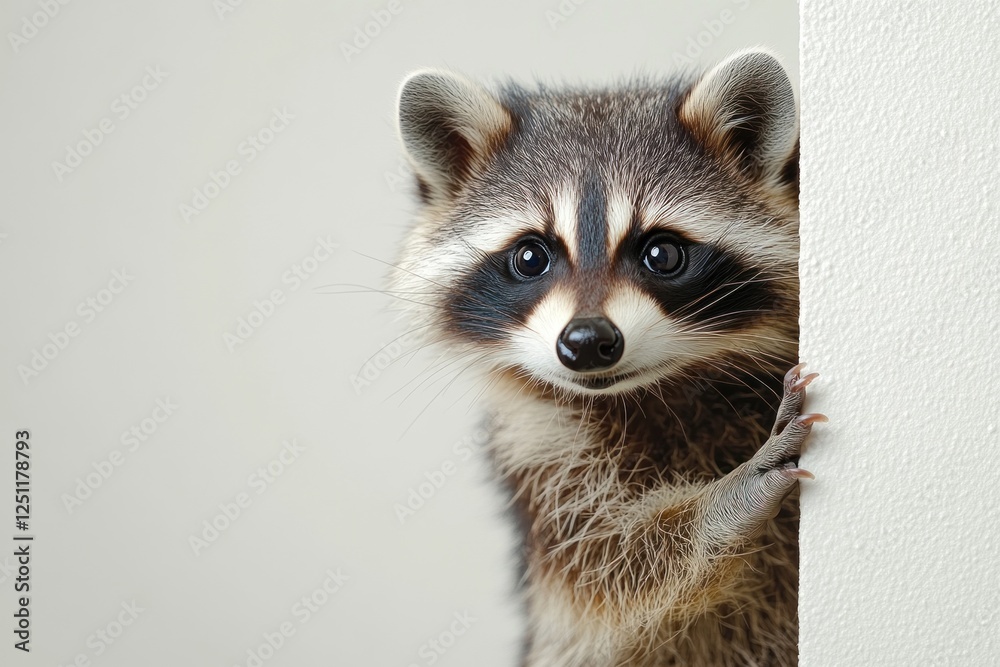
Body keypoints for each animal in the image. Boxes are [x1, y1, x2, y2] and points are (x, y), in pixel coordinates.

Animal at [391, 49, 824, 667]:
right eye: (530, 256)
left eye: (662, 253)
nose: (586, 341)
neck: (653, 392)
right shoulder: (538, 448)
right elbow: (605, 568)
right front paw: (723, 505)